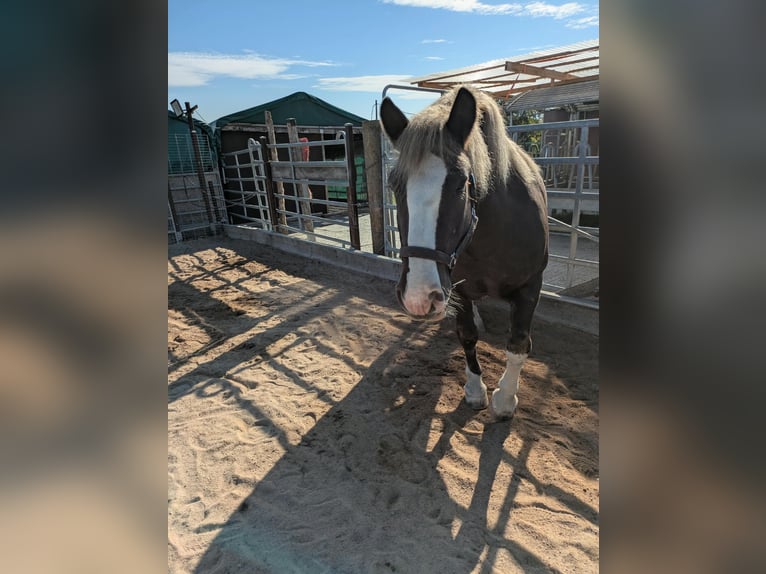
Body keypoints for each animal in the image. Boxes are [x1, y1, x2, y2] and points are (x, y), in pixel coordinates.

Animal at [380, 85, 549, 417]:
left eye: (461, 183)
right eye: (394, 184)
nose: (419, 297)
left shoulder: (530, 285)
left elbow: (518, 344)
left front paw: (505, 399)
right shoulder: (456, 288)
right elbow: (468, 336)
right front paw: (475, 390)